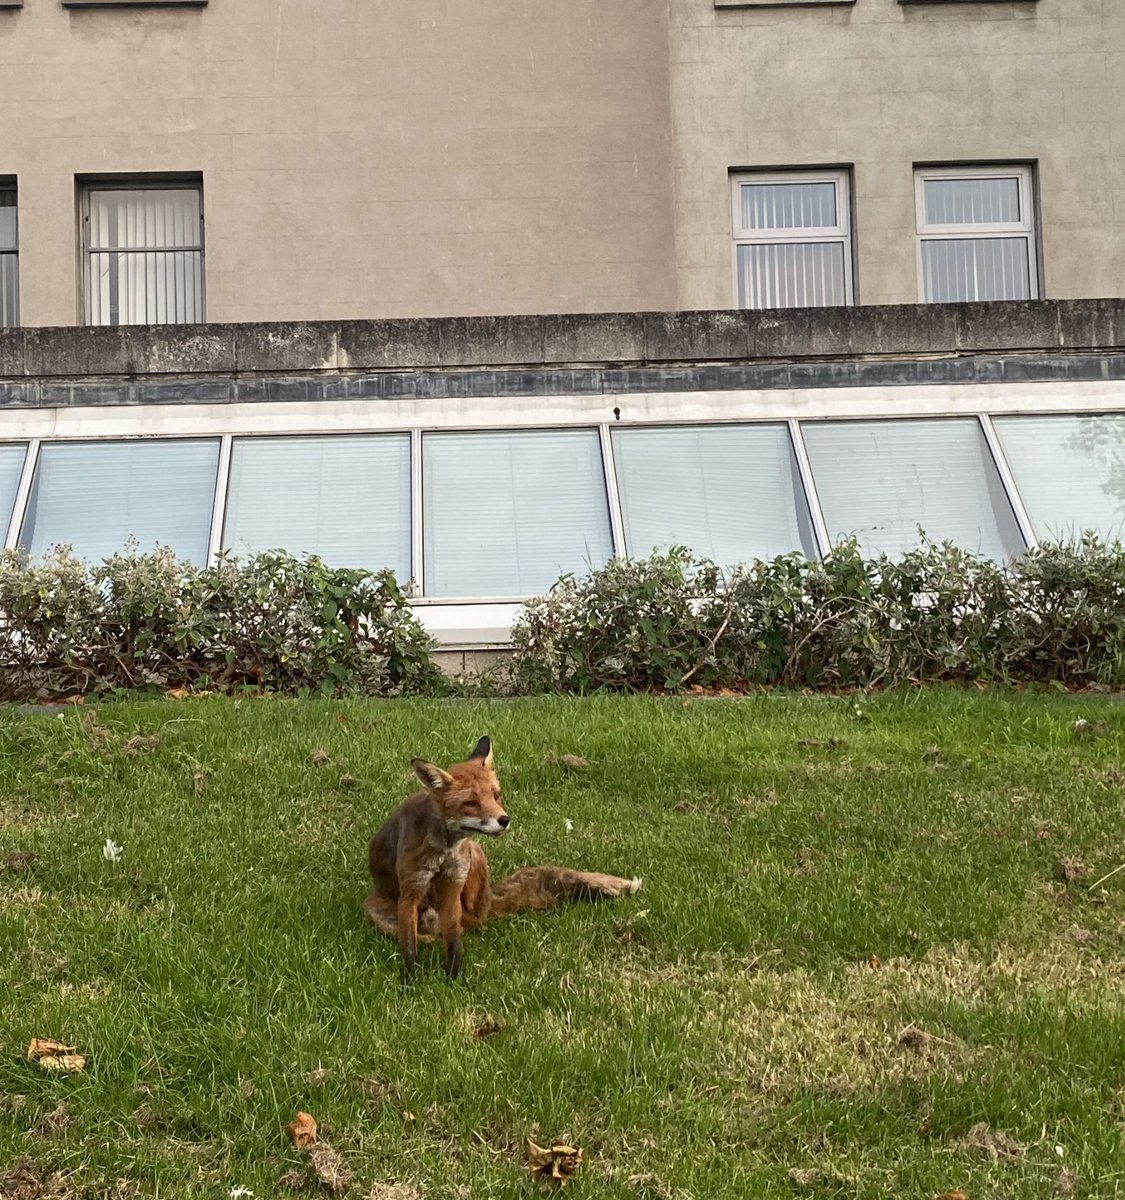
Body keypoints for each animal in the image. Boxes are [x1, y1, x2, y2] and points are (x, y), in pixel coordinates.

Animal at [364, 735, 641, 981]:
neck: (444, 850)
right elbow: (409, 948)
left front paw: (455, 980)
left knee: (468, 923)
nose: (504, 820)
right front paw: (409, 984)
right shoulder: (411, 889)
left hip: (475, 858)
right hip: (375, 907)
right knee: (424, 933)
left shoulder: (452, 885)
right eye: (471, 803)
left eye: (496, 795)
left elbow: (454, 942)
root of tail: (491, 898)